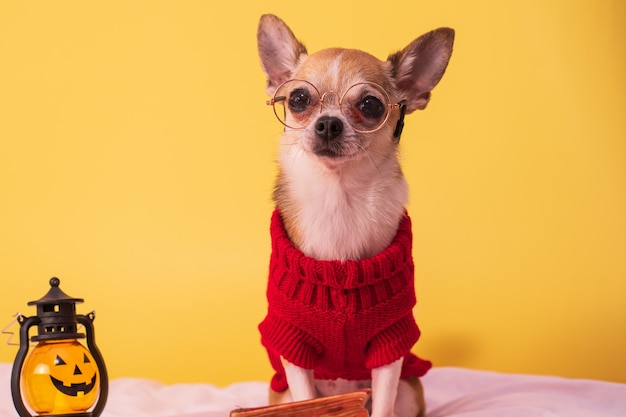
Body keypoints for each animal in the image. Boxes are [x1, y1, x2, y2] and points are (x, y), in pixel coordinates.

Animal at [256, 13, 450, 416]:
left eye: (371, 105)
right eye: (298, 99)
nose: (329, 123)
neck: (339, 198)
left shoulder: (389, 344)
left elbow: (383, 406)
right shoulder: (294, 348)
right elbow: (305, 399)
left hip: (410, 390)